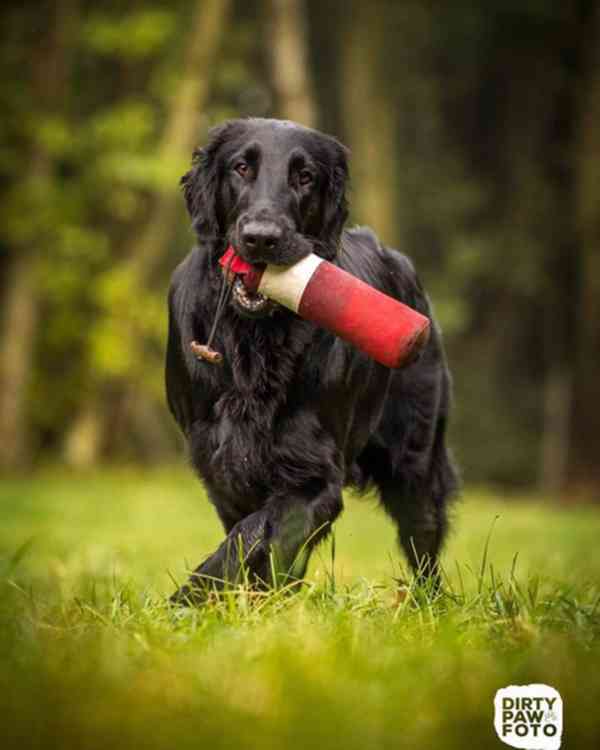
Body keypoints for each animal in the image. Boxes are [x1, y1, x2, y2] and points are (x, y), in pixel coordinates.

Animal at [166, 120, 458, 608]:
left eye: (305, 177)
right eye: (241, 167)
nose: (261, 237)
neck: (253, 341)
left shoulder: (314, 477)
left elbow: (251, 536)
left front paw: (187, 600)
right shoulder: (219, 461)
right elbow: (249, 537)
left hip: (414, 458)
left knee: (423, 543)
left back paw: (428, 605)